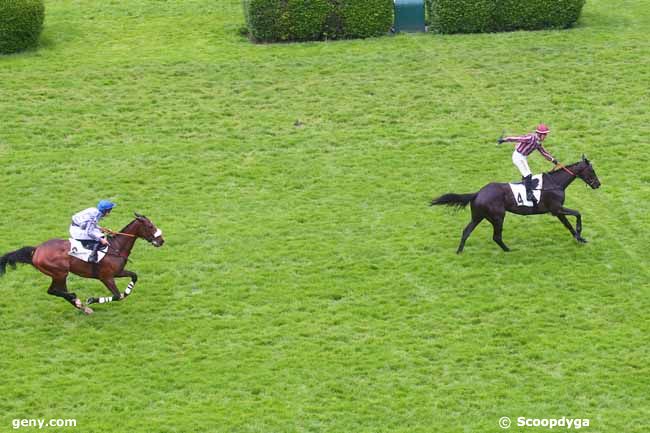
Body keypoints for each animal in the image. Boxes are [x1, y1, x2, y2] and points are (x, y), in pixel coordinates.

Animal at [1, 213, 163, 312]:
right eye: (150, 226)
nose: (161, 240)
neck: (116, 246)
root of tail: (37, 250)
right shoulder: (106, 277)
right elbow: (117, 296)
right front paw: (91, 300)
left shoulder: (118, 272)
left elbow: (134, 277)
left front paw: (127, 291)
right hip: (60, 273)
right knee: (53, 291)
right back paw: (78, 301)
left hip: (60, 275)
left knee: (59, 291)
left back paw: (81, 306)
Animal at [428, 157, 600, 253]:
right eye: (592, 171)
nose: (598, 184)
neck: (554, 183)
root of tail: (478, 193)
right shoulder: (556, 209)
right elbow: (577, 213)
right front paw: (580, 233)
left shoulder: (557, 211)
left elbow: (568, 225)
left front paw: (579, 238)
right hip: (498, 216)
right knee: (496, 236)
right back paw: (508, 250)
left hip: (478, 216)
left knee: (466, 231)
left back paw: (459, 251)